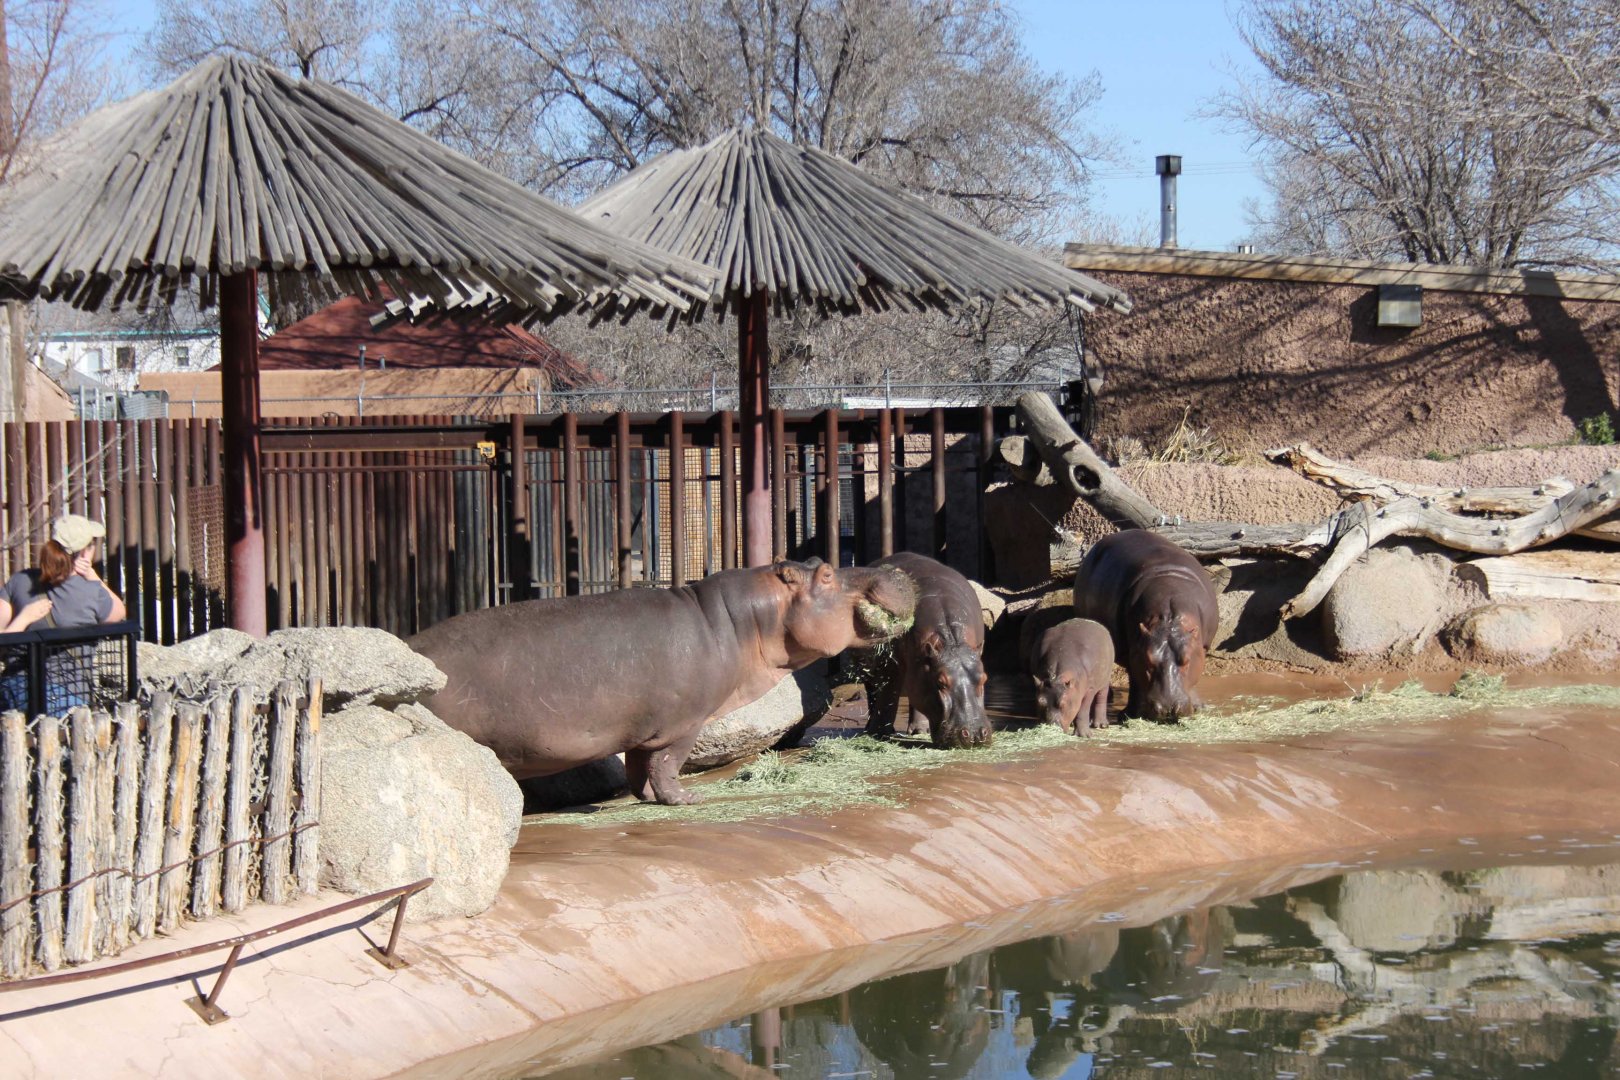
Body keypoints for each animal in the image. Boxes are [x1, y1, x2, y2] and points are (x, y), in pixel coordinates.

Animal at [408, 557, 915, 805]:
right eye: (827, 574)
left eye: (817, 559)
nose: (893, 571)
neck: (740, 621)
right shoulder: (684, 723)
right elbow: (668, 763)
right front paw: (685, 799)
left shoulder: (641, 728)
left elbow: (639, 767)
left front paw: (649, 799)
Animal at [857, 552, 992, 748]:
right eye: (941, 682)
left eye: (984, 678)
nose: (975, 734)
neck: (951, 643)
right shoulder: (891, 666)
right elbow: (888, 697)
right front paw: (878, 733)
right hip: (868, 672)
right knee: (873, 695)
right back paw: (871, 728)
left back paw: (919, 730)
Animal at [1072, 529, 1218, 721]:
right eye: (1148, 660)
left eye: (1186, 661)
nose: (1168, 708)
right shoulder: (1132, 652)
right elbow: (1135, 680)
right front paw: (1128, 714)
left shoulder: (1201, 647)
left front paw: (1200, 707)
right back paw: (1110, 697)